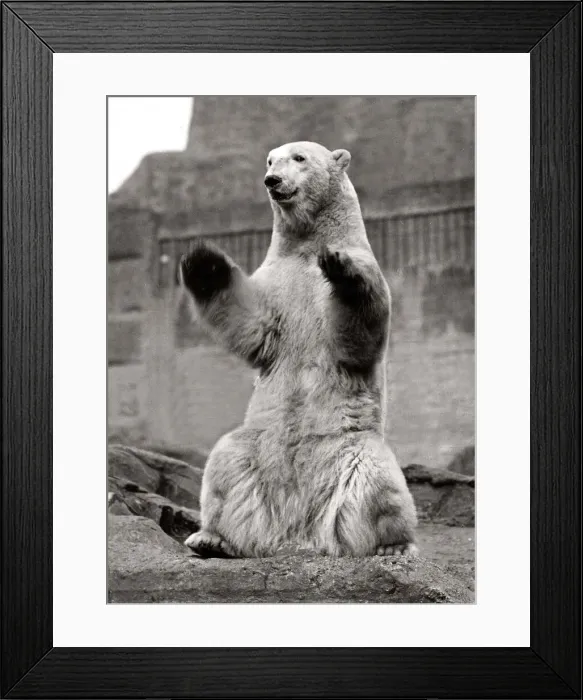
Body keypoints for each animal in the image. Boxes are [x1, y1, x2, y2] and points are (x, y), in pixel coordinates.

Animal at [181, 141, 418, 558]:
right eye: (269, 160)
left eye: (299, 158)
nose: (272, 180)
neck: (306, 245)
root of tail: (297, 531)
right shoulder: (277, 280)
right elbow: (253, 326)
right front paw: (204, 262)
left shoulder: (368, 270)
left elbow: (356, 335)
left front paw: (341, 269)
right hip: (256, 445)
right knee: (225, 462)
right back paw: (212, 538)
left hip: (352, 448)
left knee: (379, 483)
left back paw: (393, 546)